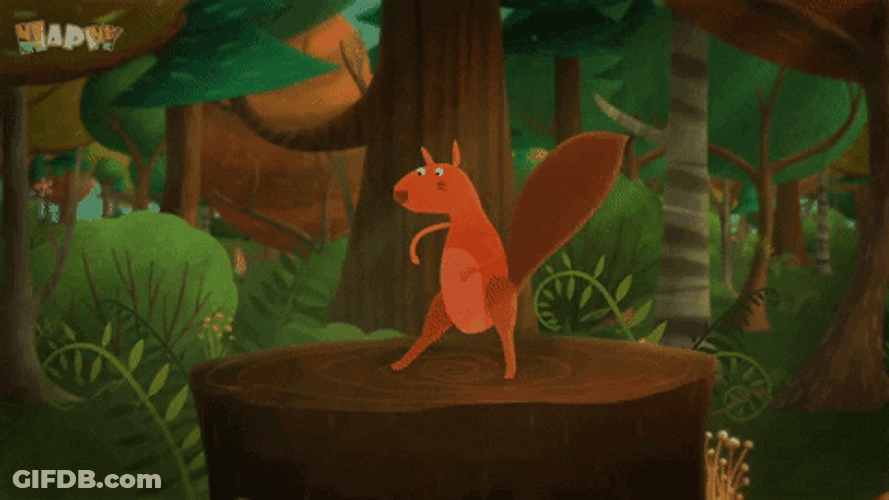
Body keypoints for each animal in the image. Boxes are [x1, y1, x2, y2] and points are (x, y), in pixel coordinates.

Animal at [390, 132, 629, 379]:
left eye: (438, 174)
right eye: (419, 170)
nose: (399, 194)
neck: (464, 223)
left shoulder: (487, 244)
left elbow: (489, 259)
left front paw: (466, 272)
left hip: (495, 299)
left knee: (505, 336)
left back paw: (510, 372)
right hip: (440, 306)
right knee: (427, 335)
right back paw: (401, 363)